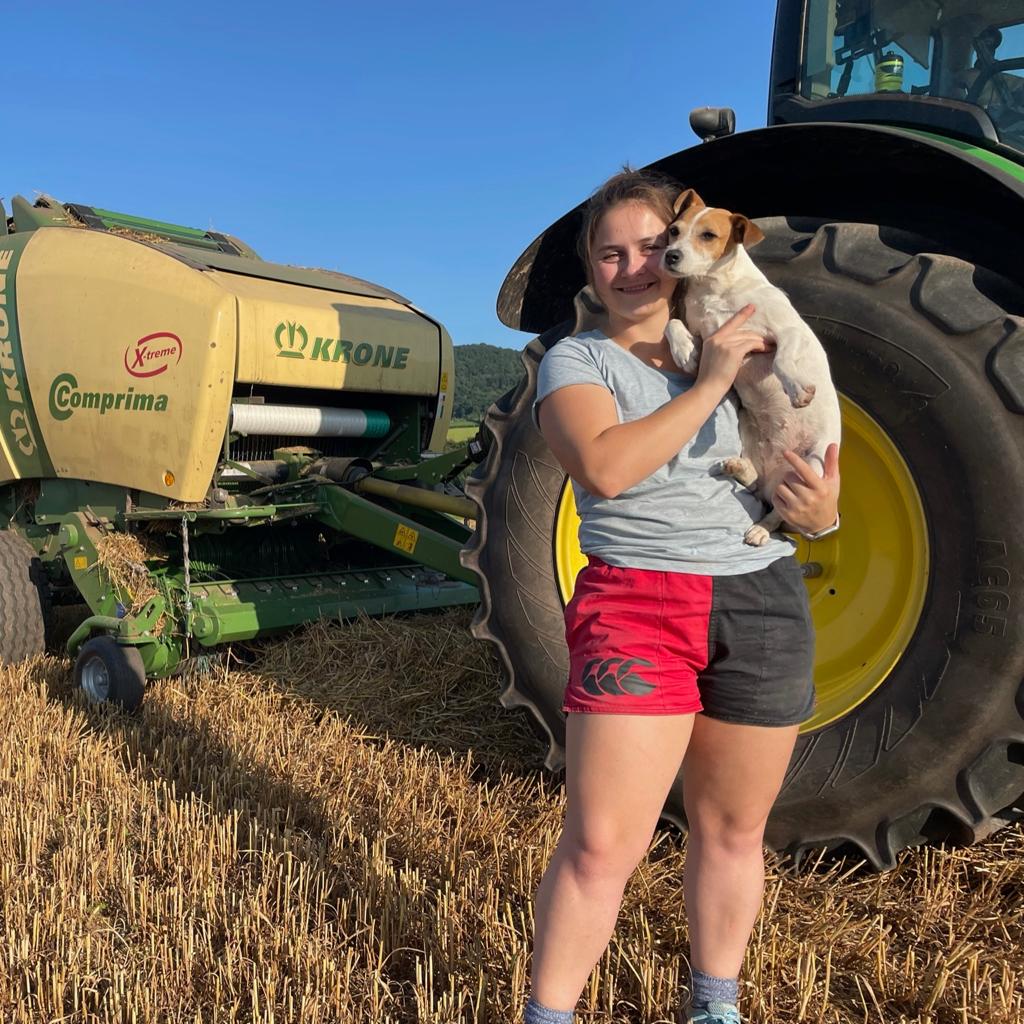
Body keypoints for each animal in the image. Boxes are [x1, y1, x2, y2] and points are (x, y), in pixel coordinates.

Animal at [659, 189, 843, 548]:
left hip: (810, 471)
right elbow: (672, 324)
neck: (715, 290)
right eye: (674, 231)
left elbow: (782, 360)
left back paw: (760, 529)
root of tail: (776, 473)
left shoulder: (788, 332)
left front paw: (797, 390)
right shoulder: (707, 338)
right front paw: (684, 351)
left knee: (777, 513)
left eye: (708, 236)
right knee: (757, 485)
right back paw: (739, 468)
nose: (670, 256)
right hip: (748, 431)